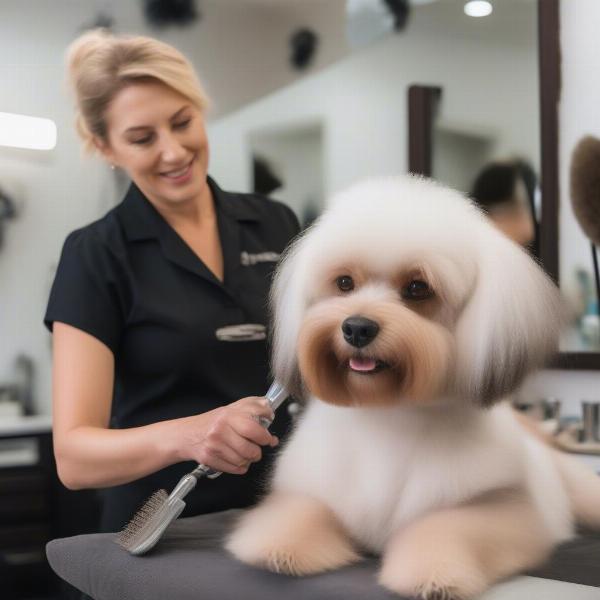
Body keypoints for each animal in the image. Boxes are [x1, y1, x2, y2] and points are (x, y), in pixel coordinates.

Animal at [225, 177, 600, 600]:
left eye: (418, 288)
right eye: (344, 282)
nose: (356, 327)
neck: (389, 413)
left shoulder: (503, 507)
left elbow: (447, 528)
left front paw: (433, 574)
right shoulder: (314, 489)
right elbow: (298, 512)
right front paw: (279, 547)